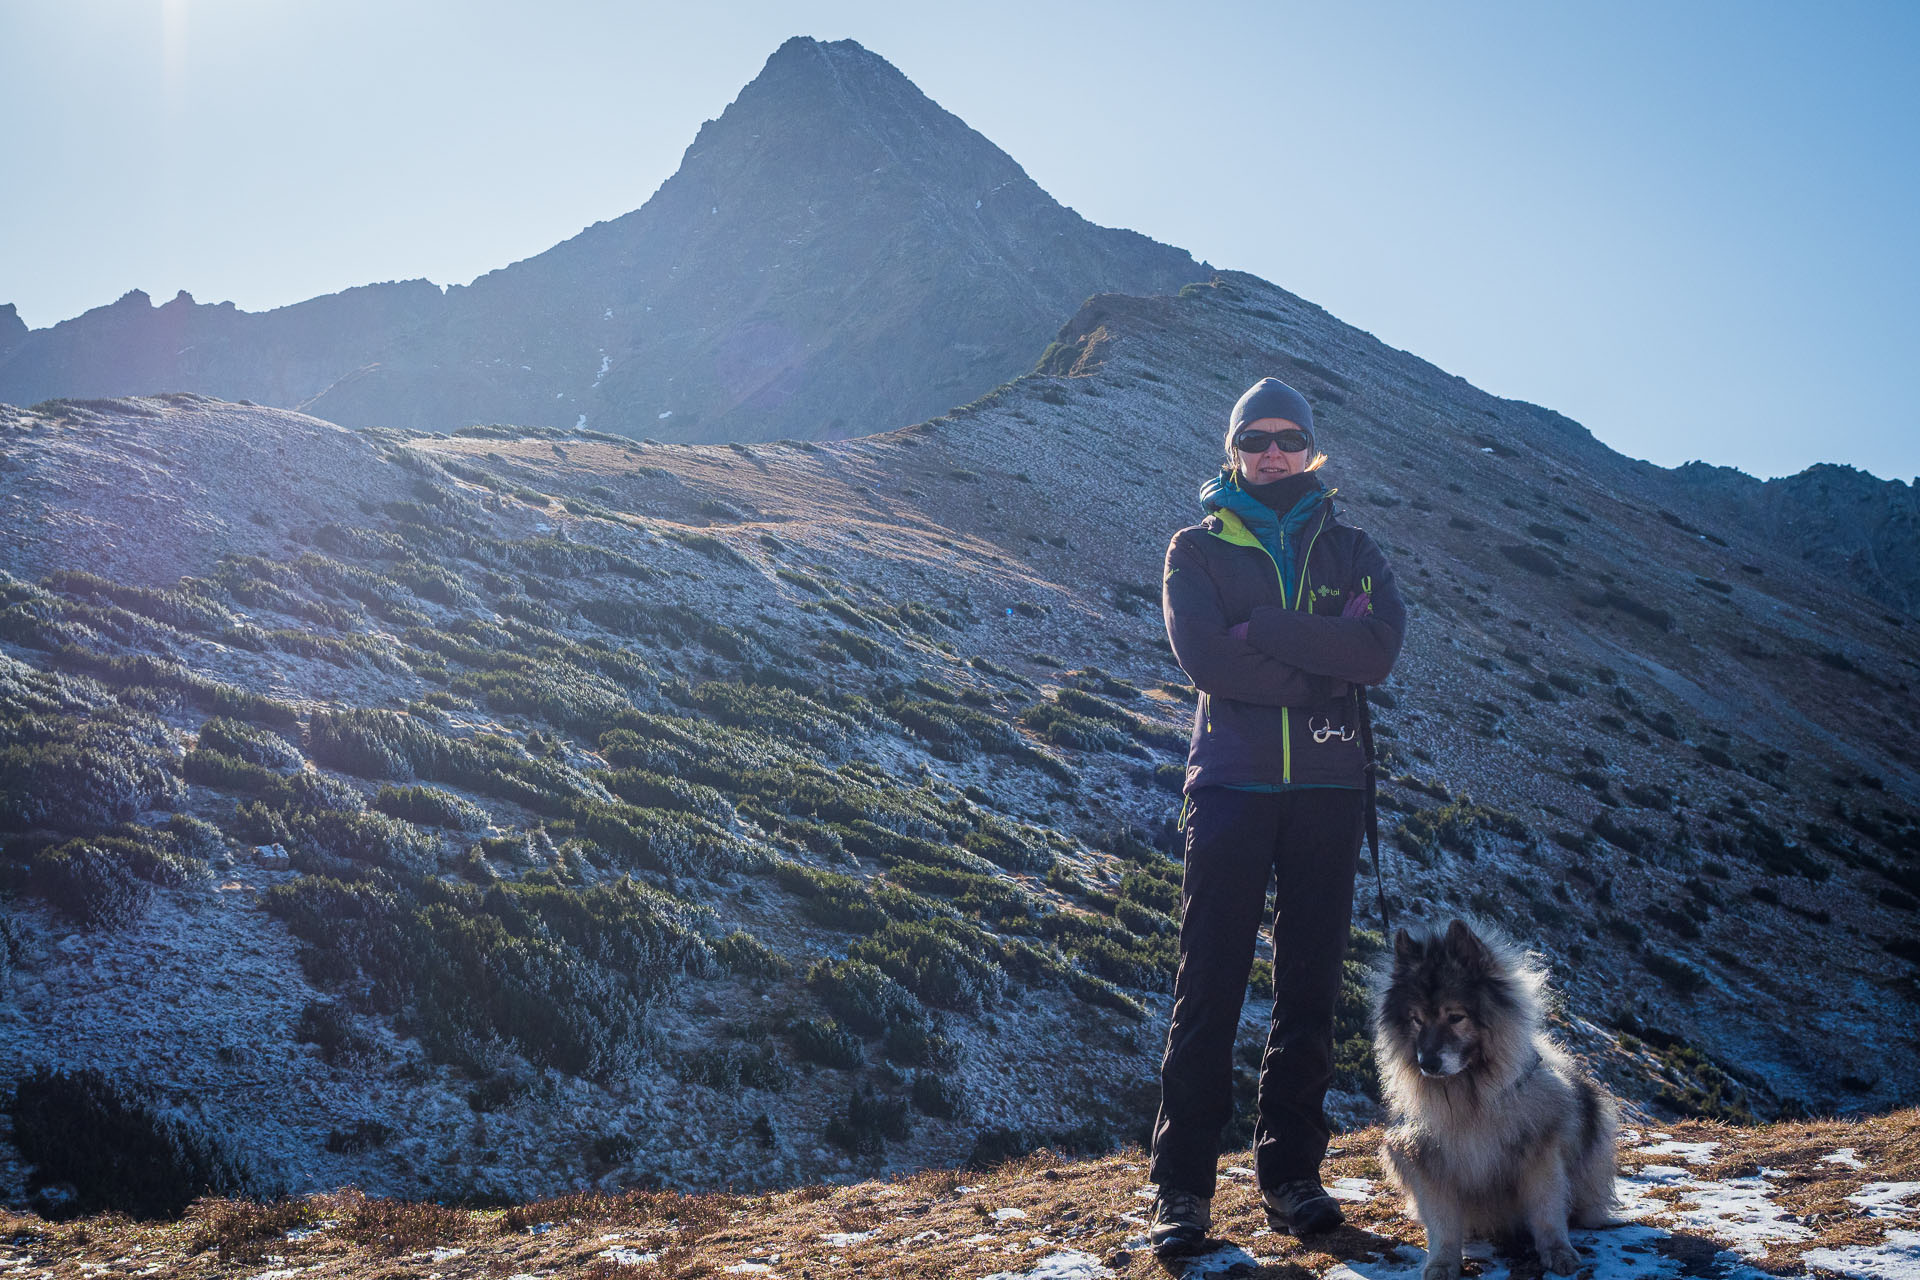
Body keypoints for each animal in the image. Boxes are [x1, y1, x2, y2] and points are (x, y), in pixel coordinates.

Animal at [1374, 921, 1612, 1280]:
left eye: (1455, 1016)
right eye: (1416, 1019)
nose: (1427, 1062)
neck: (1472, 1097)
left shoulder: (1540, 1152)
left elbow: (1547, 1210)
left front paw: (1558, 1251)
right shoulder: (1428, 1160)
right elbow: (1443, 1223)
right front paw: (1442, 1263)